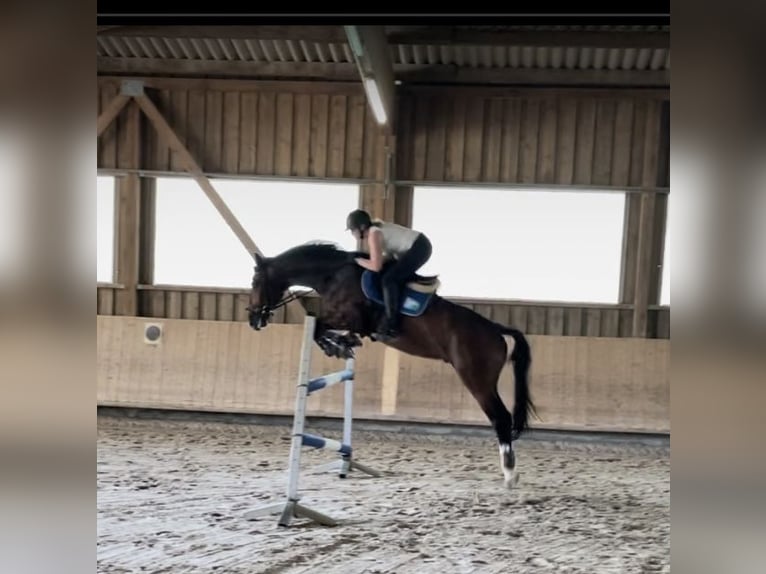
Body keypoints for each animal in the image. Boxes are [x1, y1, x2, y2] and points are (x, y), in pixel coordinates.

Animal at [249, 241, 536, 488]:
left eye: (254, 282)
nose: (253, 319)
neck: (332, 275)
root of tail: (497, 331)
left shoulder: (348, 318)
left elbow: (318, 326)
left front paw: (336, 346)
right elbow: (326, 329)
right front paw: (344, 344)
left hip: (476, 379)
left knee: (500, 417)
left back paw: (510, 473)